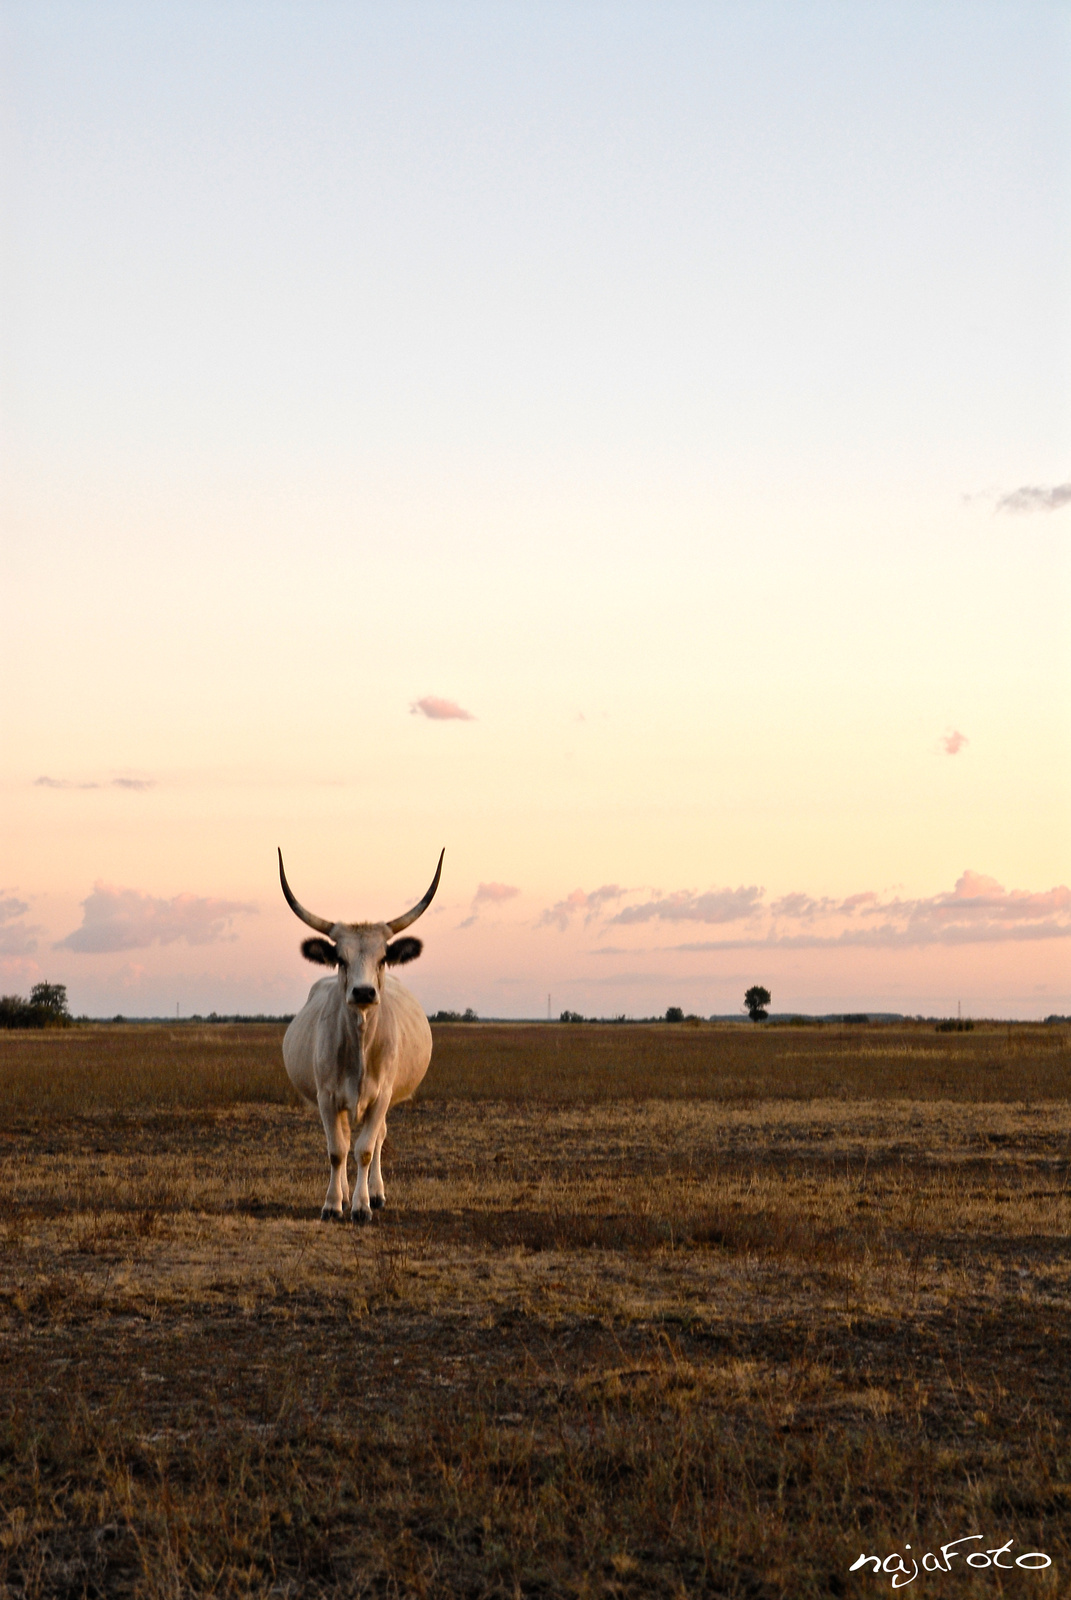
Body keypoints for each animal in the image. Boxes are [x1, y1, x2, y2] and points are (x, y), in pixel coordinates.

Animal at [280, 851, 441, 1222]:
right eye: (340, 958)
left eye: (383, 958)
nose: (364, 992)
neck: (360, 1047)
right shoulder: (326, 1097)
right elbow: (337, 1150)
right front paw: (332, 1204)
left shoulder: (382, 1097)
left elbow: (366, 1149)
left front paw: (362, 1205)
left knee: (379, 1138)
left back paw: (376, 1193)